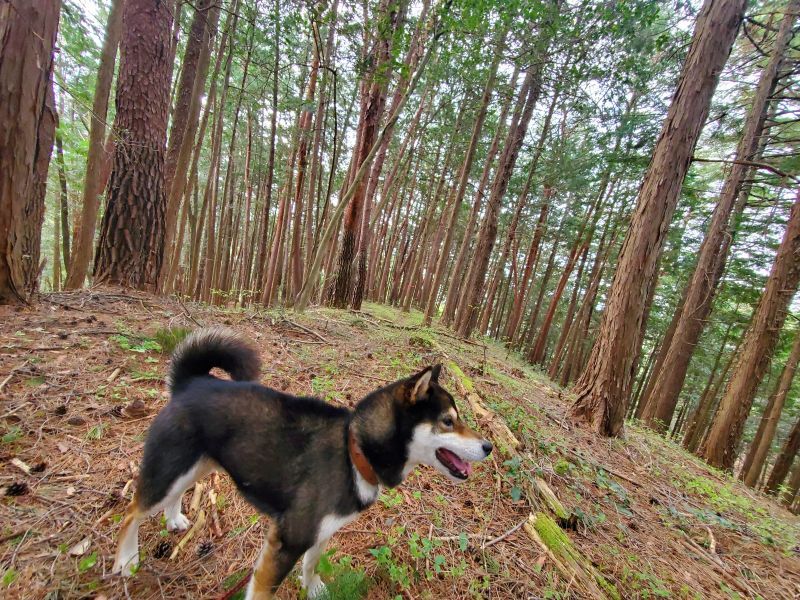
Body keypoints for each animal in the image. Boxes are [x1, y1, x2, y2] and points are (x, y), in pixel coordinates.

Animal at [109, 330, 490, 596]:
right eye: (448, 421)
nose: (488, 446)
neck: (353, 452)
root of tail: (191, 383)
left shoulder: (321, 533)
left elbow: (311, 564)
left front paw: (313, 588)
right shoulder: (285, 543)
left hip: (198, 465)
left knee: (173, 495)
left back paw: (174, 519)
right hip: (171, 469)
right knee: (131, 513)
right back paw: (126, 561)